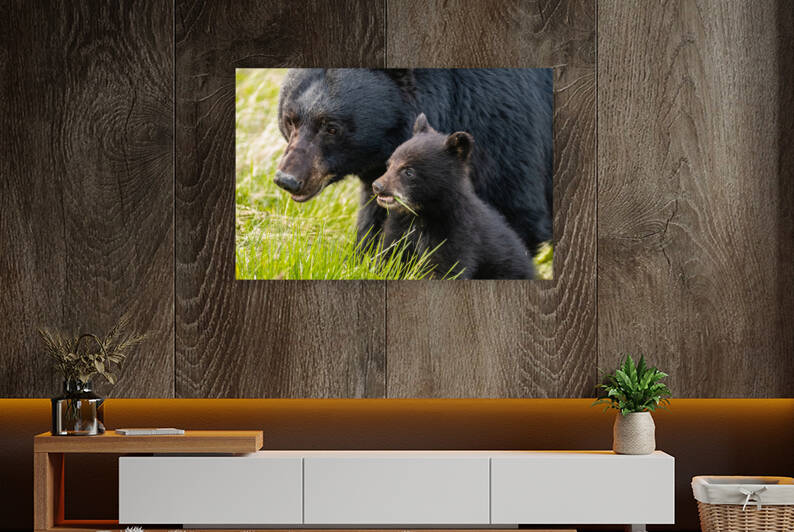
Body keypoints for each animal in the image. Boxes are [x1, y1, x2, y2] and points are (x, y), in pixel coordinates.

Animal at [274, 68, 552, 254]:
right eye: (290, 120)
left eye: (331, 128)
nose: (287, 179)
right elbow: (379, 218)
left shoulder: (505, 133)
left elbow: (513, 215)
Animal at [371, 114, 534, 280]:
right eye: (389, 164)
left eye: (409, 171)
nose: (377, 186)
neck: (422, 213)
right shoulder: (400, 227)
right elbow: (389, 256)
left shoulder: (456, 232)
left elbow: (446, 267)